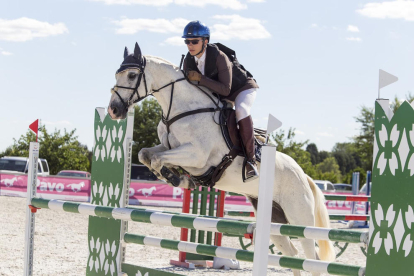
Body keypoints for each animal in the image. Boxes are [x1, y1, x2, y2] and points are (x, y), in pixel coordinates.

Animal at [107, 43, 336, 276]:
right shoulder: (170, 148)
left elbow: (157, 160)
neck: (182, 108)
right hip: (275, 221)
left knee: (312, 258)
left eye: (132, 75)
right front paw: (178, 178)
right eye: (117, 74)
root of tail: (304, 176)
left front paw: (179, 179)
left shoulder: (196, 156)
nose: (113, 110)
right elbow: (146, 154)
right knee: (292, 254)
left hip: (299, 217)